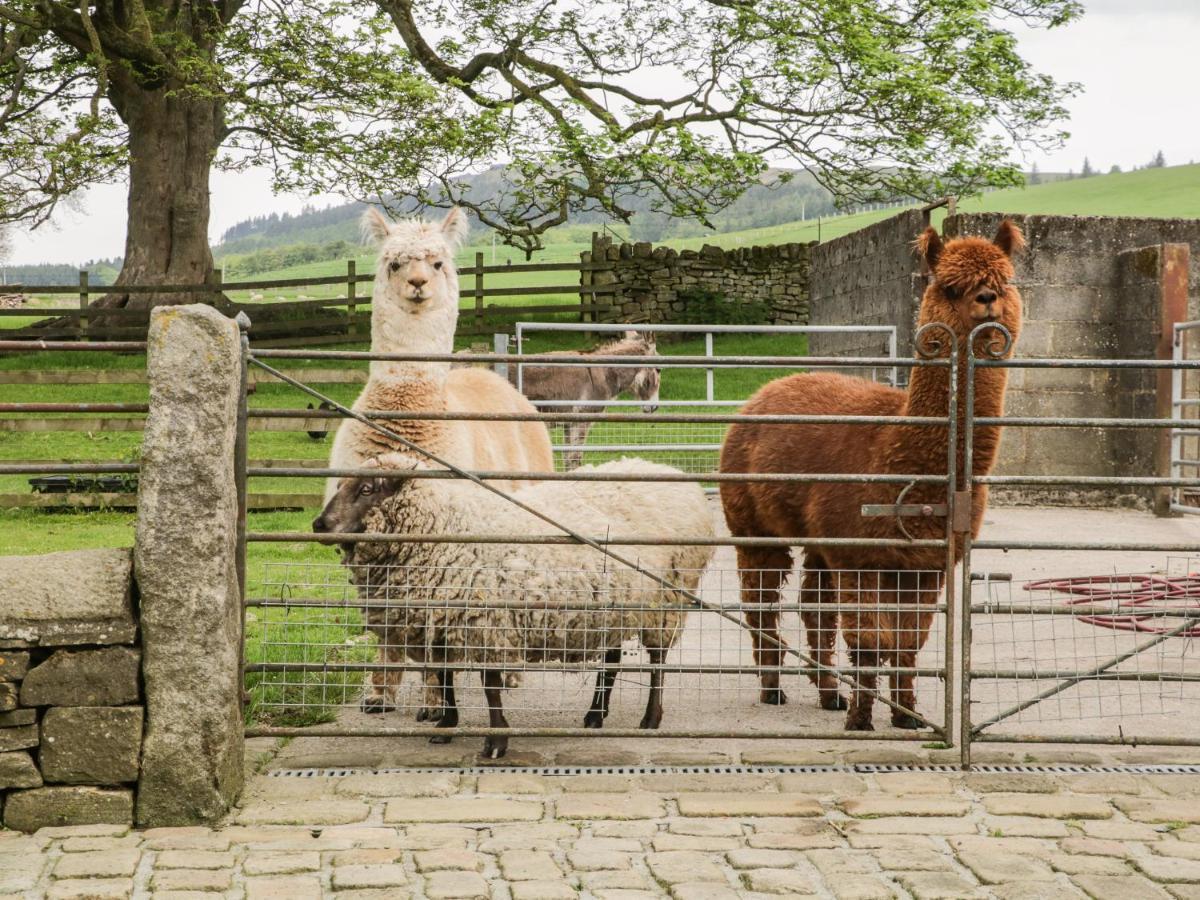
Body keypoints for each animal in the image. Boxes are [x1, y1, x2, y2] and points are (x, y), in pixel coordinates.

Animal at [314, 453, 715, 758]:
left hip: (667, 601)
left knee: (658, 661)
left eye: (366, 489)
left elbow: (490, 687)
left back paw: (650, 718)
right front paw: (446, 725)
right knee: (612, 659)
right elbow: (444, 677)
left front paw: (496, 741)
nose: (319, 524)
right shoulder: (441, 624)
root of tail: (673, 474)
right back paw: (595, 715)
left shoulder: (489, 624)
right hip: (611, 605)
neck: (447, 532)